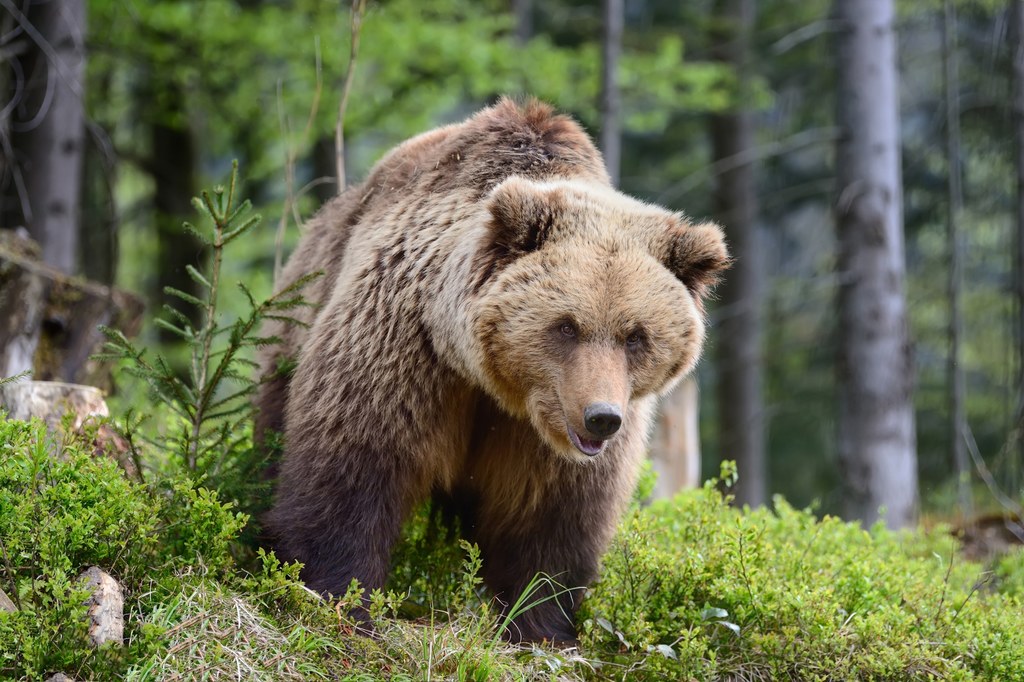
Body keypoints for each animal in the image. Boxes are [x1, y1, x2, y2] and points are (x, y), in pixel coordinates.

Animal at [260, 96, 733, 643]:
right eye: (567, 326)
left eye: (636, 335)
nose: (601, 417)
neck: (493, 382)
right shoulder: (404, 351)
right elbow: (354, 469)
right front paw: (339, 600)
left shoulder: (547, 439)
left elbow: (551, 520)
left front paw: (540, 625)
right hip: (293, 321)